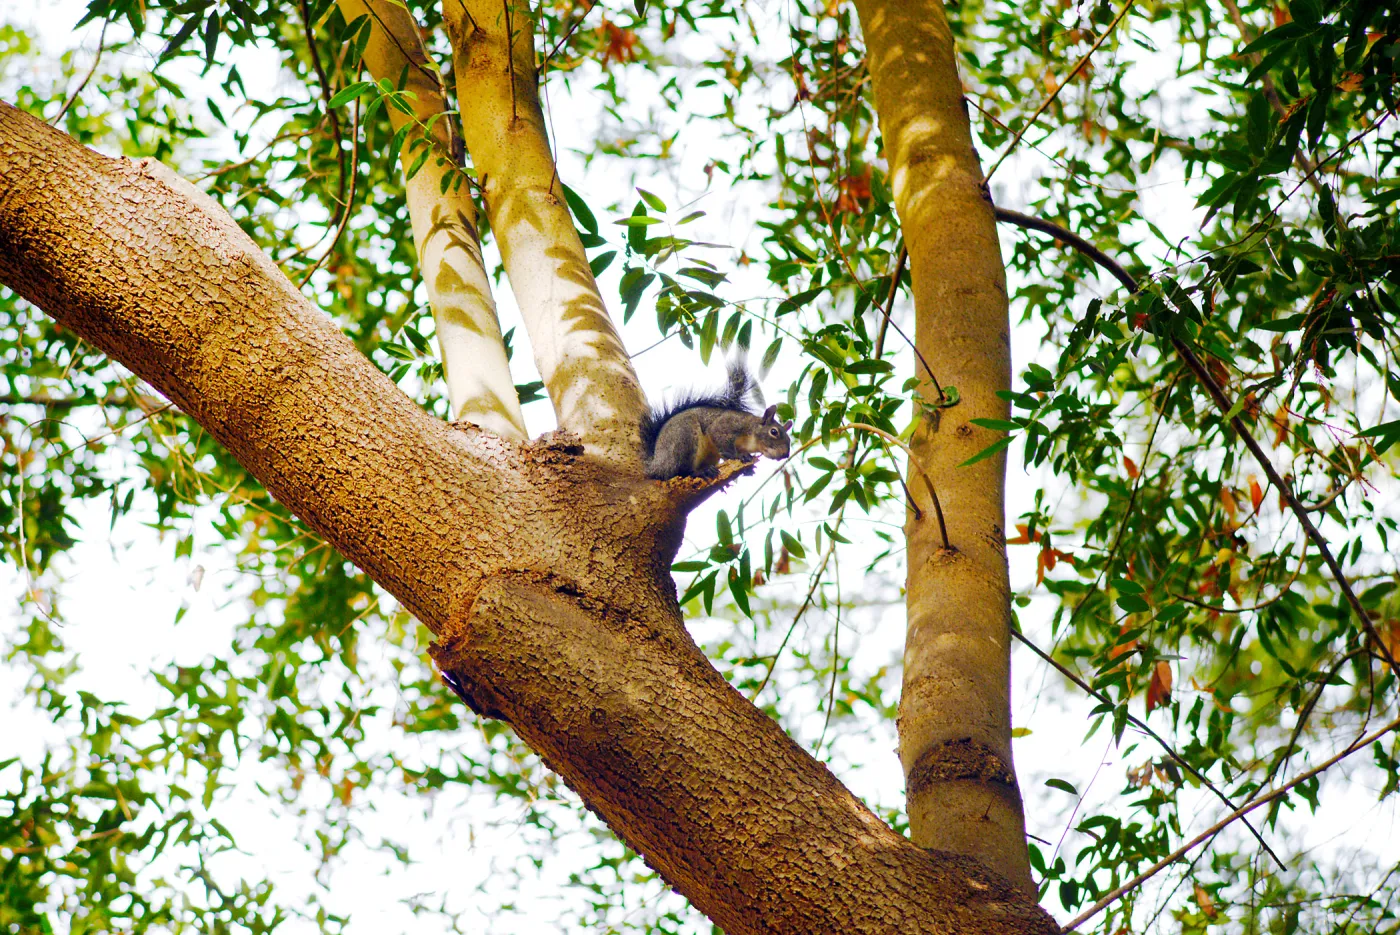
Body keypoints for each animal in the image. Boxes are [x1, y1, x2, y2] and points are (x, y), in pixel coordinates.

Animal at [640, 359, 794, 479]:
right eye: (774, 432)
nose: (785, 455)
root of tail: (656, 464)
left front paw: (748, 469)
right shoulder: (729, 424)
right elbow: (718, 435)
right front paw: (739, 456)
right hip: (683, 437)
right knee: (680, 471)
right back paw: (701, 472)